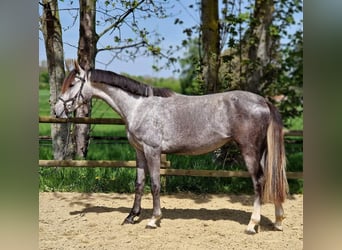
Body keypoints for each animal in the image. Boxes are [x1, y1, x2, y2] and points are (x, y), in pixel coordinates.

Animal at [54, 61, 288, 233]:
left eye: (72, 84)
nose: (57, 111)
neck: (139, 107)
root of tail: (263, 101)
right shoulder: (139, 152)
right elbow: (139, 184)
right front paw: (132, 216)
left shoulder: (152, 151)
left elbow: (155, 185)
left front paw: (153, 219)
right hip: (263, 152)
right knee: (272, 178)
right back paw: (278, 221)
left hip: (249, 150)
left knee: (258, 182)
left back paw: (252, 224)